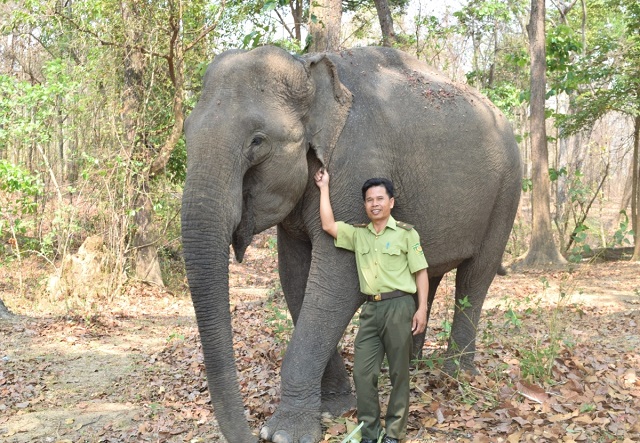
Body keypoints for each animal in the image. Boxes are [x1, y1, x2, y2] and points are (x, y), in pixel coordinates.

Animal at [180, 45, 520, 443]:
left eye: (257, 142)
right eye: (185, 133)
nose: (252, 434)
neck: (308, 68)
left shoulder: (358, 167)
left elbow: (335, 283)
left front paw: (284, 433)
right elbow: (295, 279)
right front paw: (336, 407)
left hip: (507, 193)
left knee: (476, 277)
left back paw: (455, 375)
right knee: (427, 277)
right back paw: (409, 367)